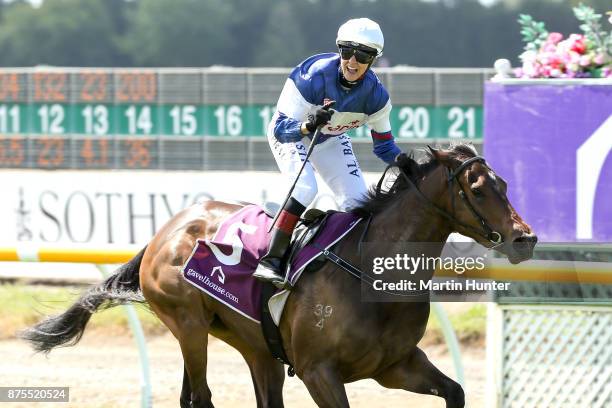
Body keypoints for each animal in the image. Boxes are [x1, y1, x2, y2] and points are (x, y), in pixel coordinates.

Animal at [20, 143, 536, 404]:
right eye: (477, 187)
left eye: (505, 183)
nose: (523, 238)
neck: (371, 271)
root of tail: (167, 229)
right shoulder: (318, 371)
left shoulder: (396, 366)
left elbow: (455, 391)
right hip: (188, 324)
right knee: (199, 397)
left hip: (254, 346)